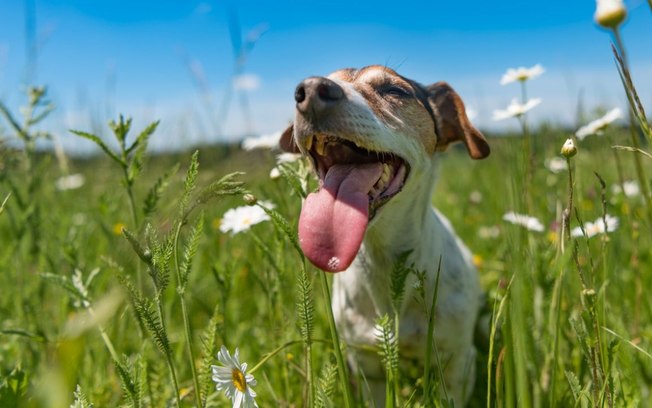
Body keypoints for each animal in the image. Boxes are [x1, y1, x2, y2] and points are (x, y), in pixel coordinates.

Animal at [280, 65, 488, 406]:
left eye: (394, 90)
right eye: (303, 89)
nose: (309, 91)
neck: (385, 261)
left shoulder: (457, 363)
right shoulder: (368, 366)